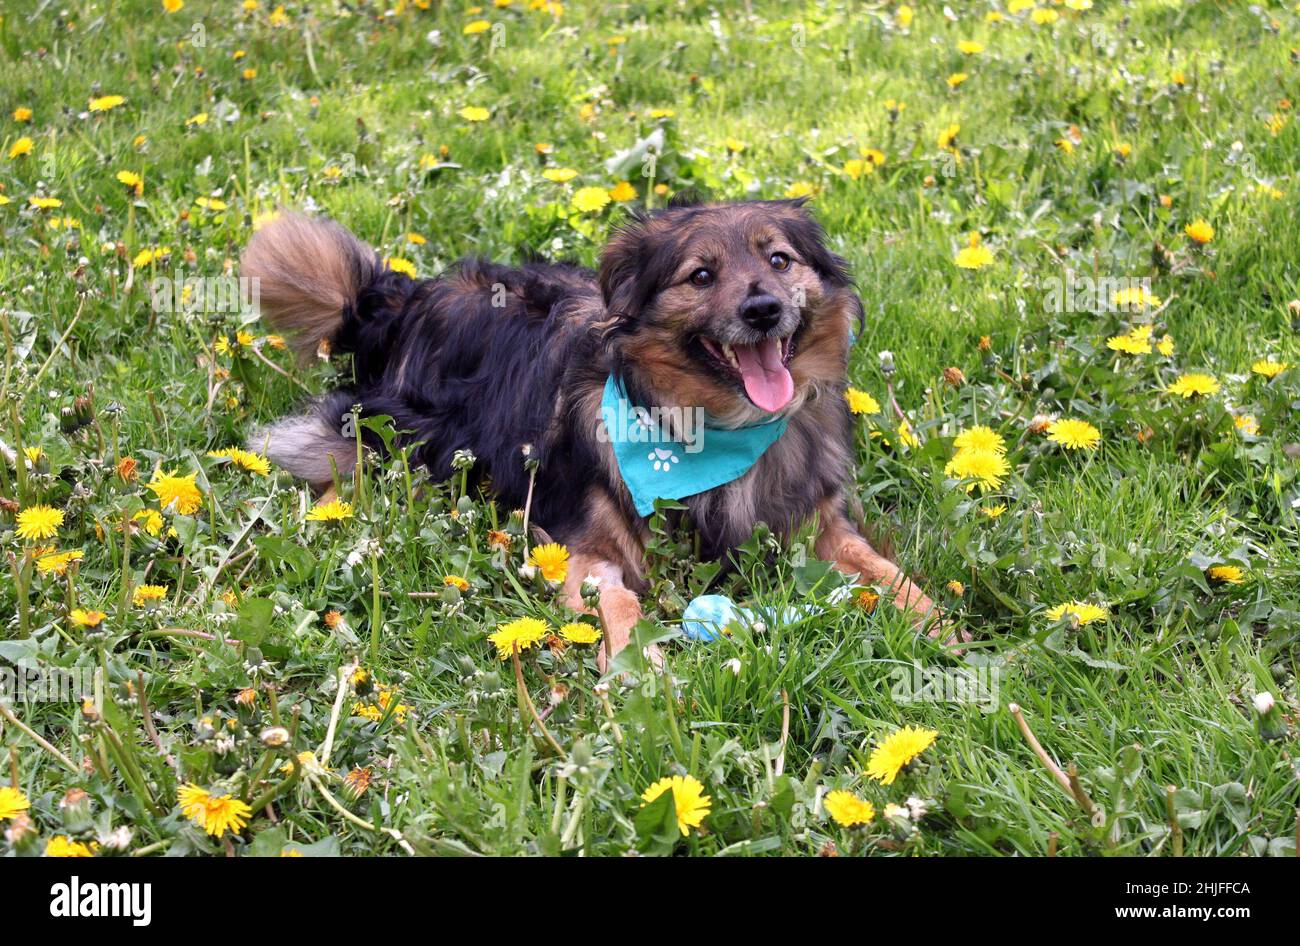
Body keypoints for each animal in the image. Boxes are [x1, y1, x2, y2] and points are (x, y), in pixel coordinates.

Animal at [239, 197, 941, 665]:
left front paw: (937, 625)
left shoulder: (820, 522)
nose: (764, 309)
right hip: (390, 436)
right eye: (701, 275)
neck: (710, 423)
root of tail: (399, 299)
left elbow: (883, 568)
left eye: (780, 259)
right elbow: (620, 602)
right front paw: (637, 665)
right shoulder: (579, 545)